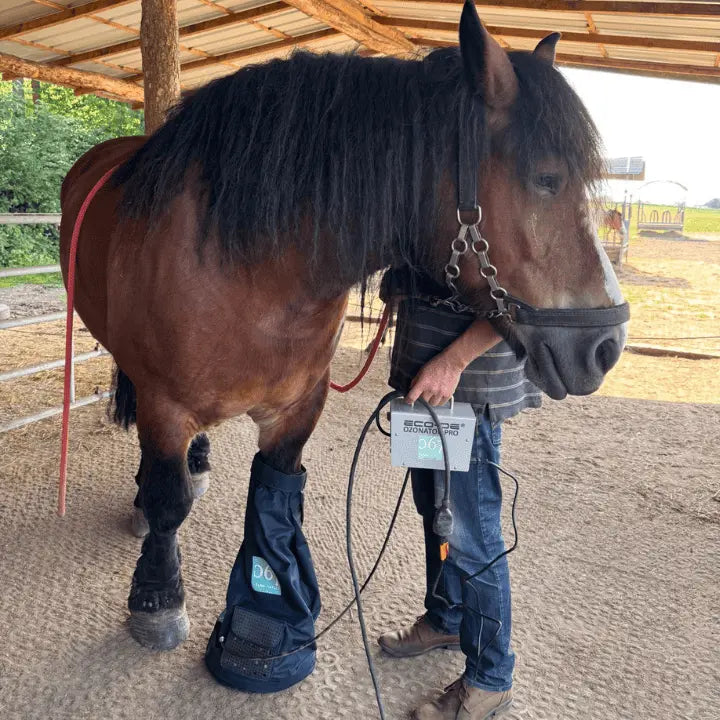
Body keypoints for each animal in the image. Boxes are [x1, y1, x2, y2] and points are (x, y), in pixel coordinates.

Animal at [59, 1, 628, 680]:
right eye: (546, 179)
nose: (605, 346)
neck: (247, 267)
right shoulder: (165, 404)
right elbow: (170, 505)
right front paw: (157, 599)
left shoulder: (297, 408)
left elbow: (273, 493)